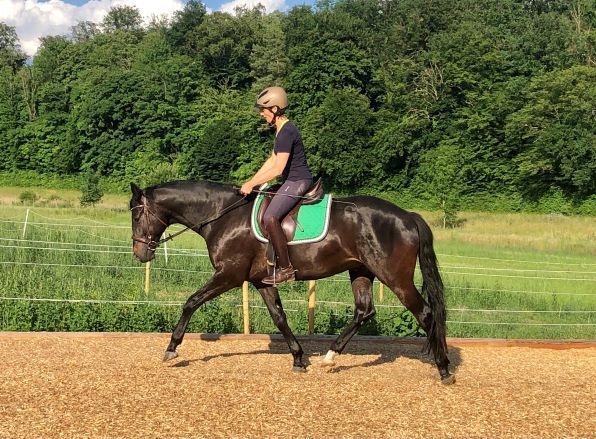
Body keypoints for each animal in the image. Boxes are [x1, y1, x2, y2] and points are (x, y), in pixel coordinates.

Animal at [130, 180, 454, 384]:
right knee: (365, 310)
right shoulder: (261, 281)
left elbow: (191, 302)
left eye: (136, 215)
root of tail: (408, 216)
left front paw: (172, 348)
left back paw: (444, 369)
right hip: (361, 271)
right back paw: (330, 356)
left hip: (395, 278)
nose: (140, 253)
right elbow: (279, 318)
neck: (223, 215)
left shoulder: (229, 275)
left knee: (426, 314)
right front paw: (299, 358)